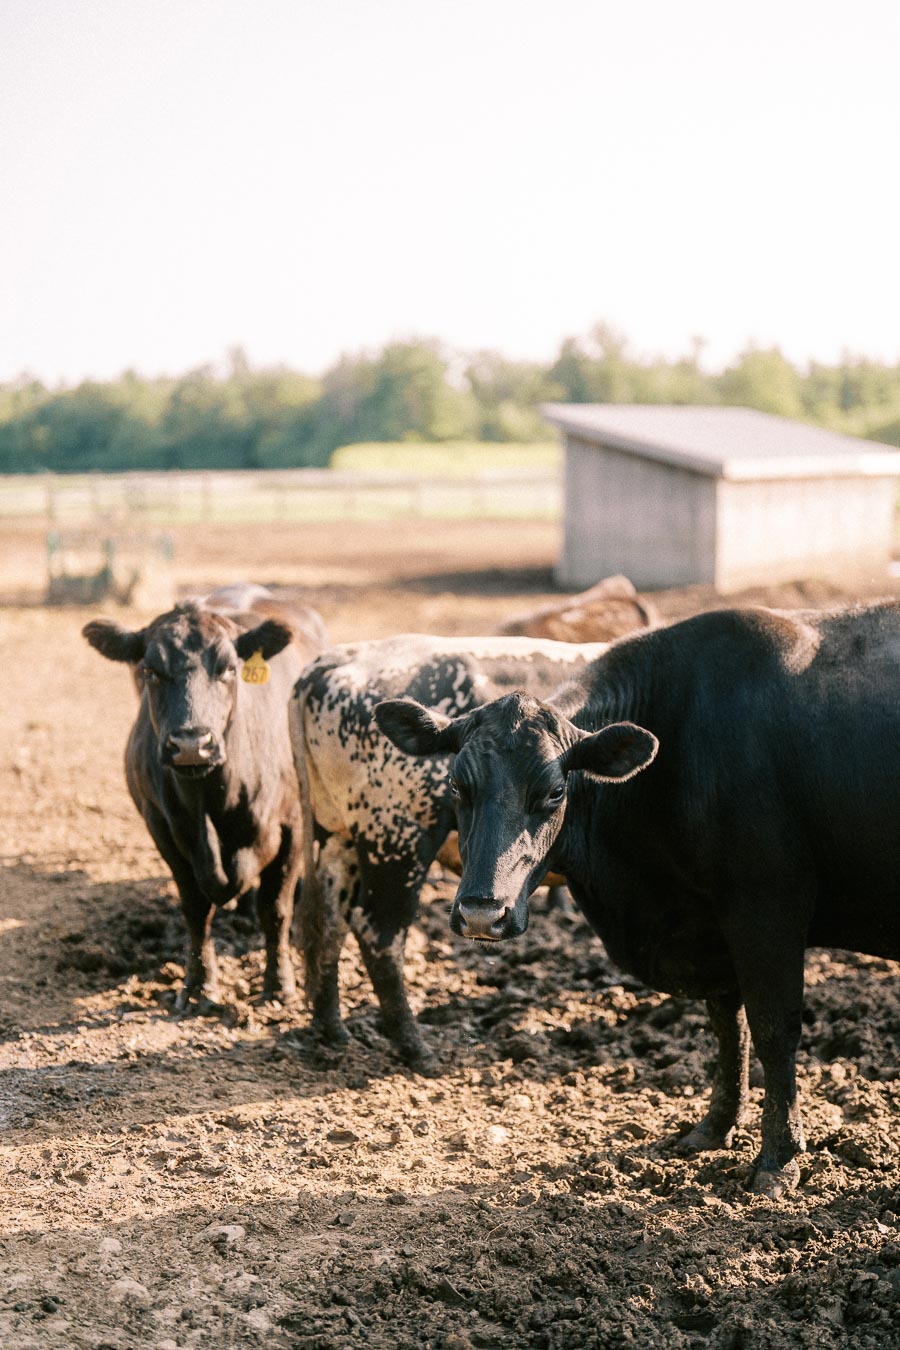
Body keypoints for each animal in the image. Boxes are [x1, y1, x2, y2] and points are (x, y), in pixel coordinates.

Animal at [83, 585, 327, 1010]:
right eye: (150, 670)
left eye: (229, 668)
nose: (191, 744)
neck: (210, 804)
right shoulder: (162, 829)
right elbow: (196, 908)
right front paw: (199, 983)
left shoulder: (293, 824)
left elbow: (275, 909)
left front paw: (279, 984)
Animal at [289, 635, 607, 1067]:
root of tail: (330, 662)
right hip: (397, 838)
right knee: (378, 933)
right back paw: (414, 1047)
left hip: (337, 836)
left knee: (329, 920)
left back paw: (332, 1028)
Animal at [375, 602, 900, 1196]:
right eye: (456, 786)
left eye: (555, 791)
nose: (482, 912)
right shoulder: (711, 930)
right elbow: (729, 1030)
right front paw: (713, 1129)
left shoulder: (767, 910)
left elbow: (773, 1030)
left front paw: (778, 1158)